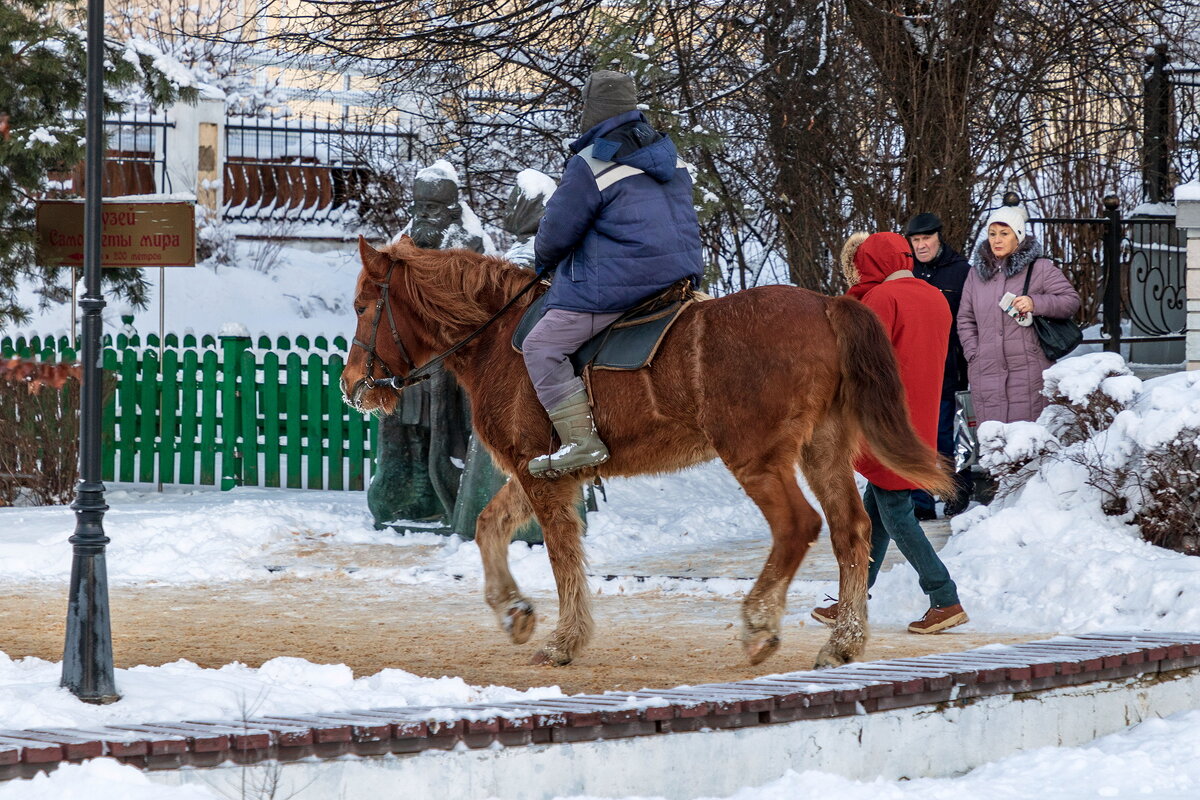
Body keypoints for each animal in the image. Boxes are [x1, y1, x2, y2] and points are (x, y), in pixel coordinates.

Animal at [343, 236, 950, 671]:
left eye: (362, 306)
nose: (352, 385)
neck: (499, 339)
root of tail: (826, 307)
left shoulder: (542, 477)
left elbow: (562, 556)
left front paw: (564, 641)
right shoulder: (540, 471)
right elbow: (489, 525)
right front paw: (514, 611)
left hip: (756, 455)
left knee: (797, 526)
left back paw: (759, 624)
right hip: (822, 449)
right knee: (852, 529)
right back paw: (843, 642)